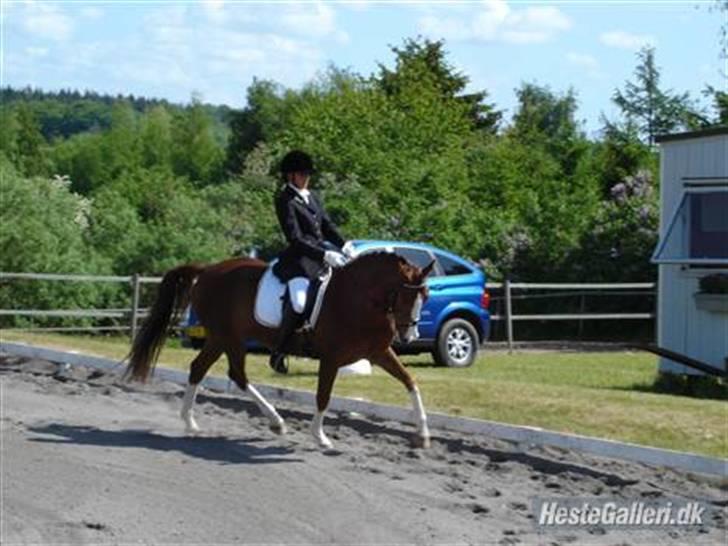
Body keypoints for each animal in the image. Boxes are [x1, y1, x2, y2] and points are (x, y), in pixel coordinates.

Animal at [126, 251, 432, 446]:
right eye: (405, 295)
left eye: (426, 295)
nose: (409, 335)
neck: (357, 299)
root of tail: (209, 270)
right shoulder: (331, 358)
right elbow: (323, 396)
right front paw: (320, 437)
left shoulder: (378, 353)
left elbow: (411, 382)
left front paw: (423, 434)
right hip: (229, 338)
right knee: (236, 375)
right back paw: (276, 421)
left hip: (219, 339)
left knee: (200, 369)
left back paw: (191, 422)